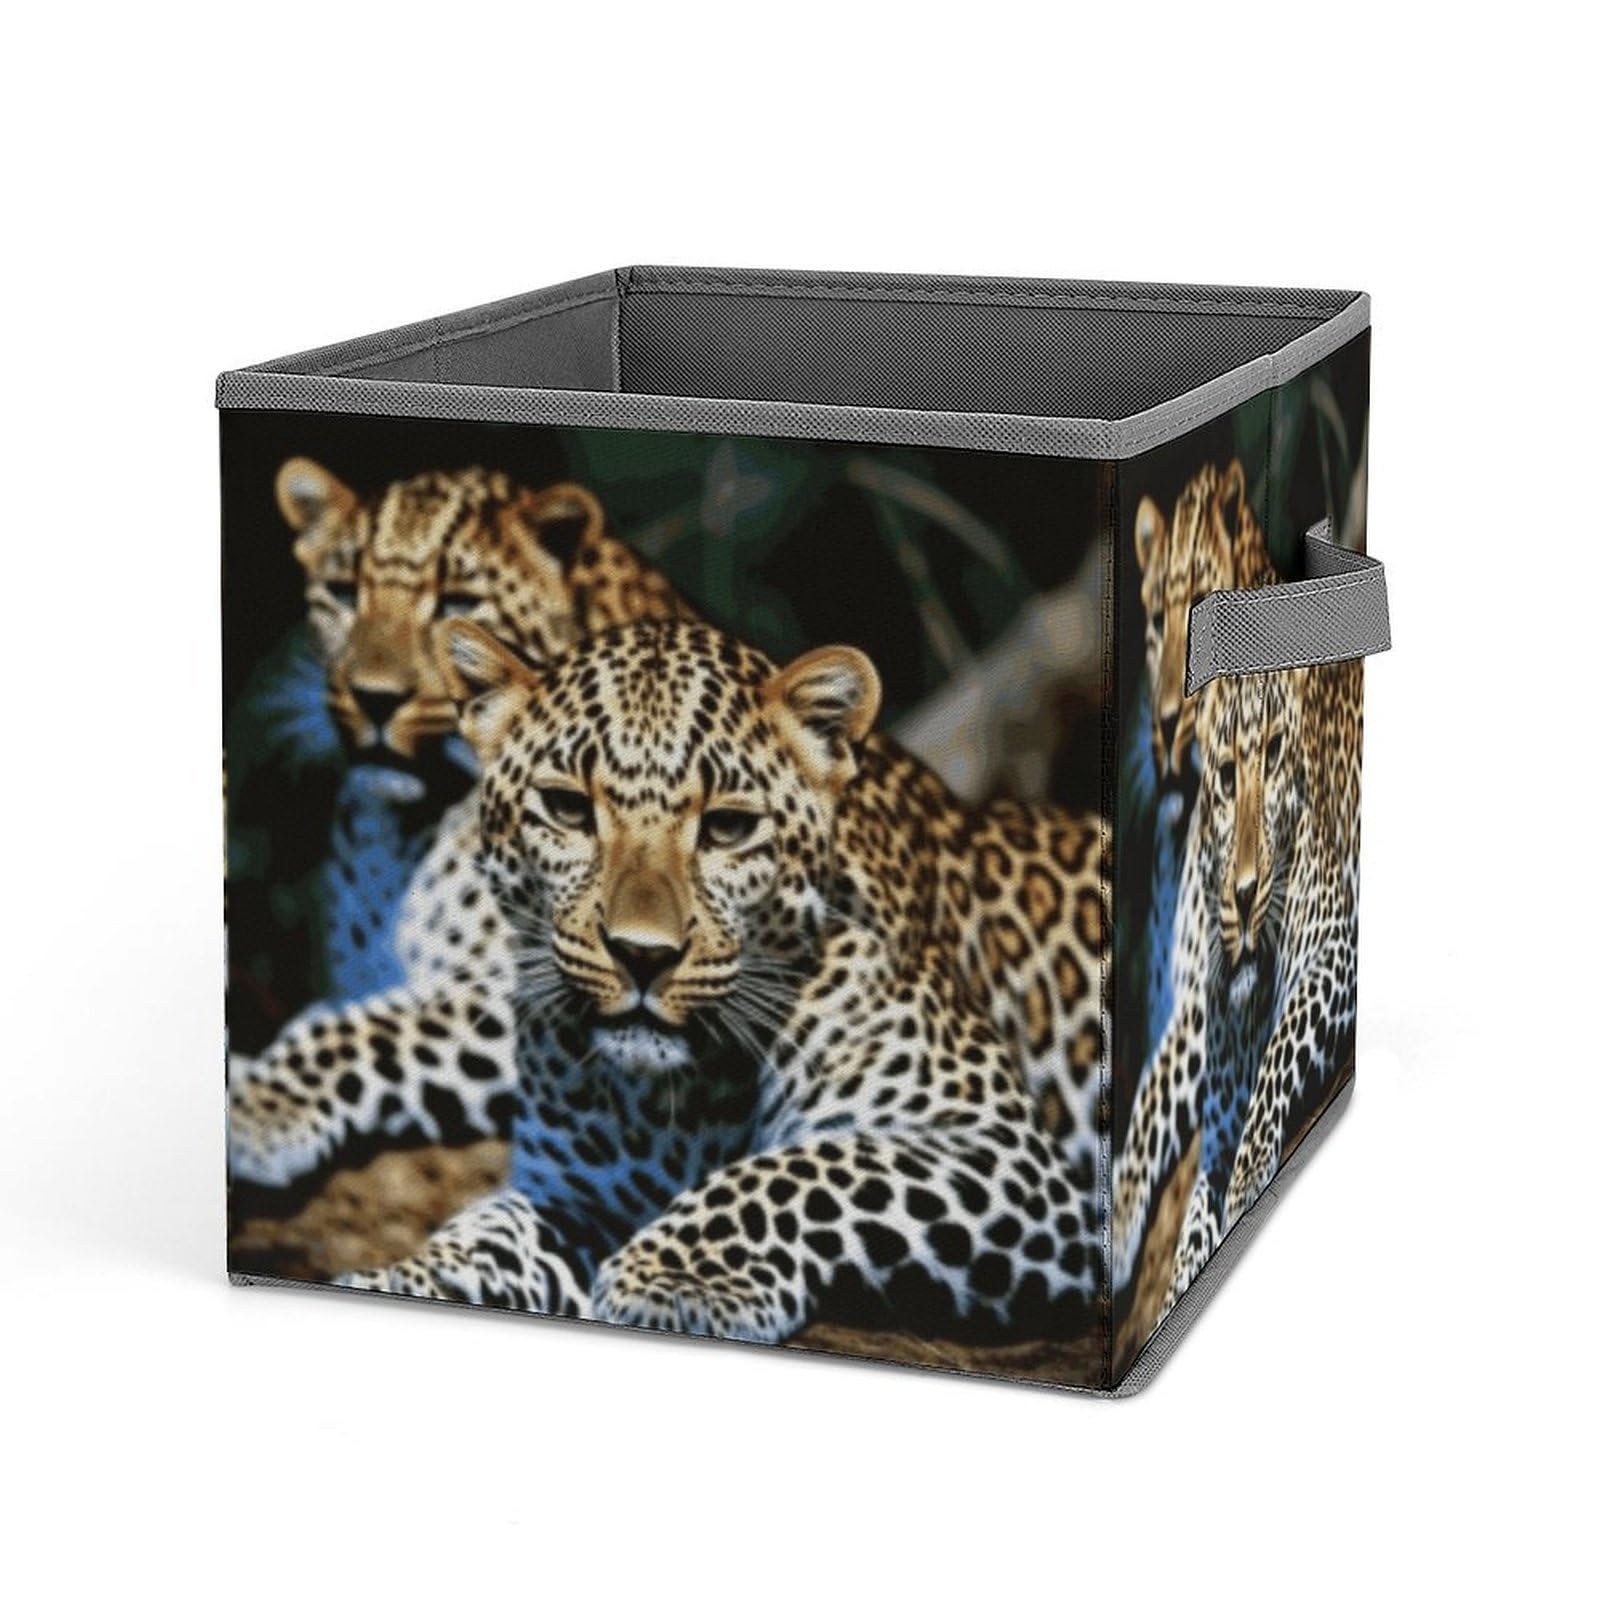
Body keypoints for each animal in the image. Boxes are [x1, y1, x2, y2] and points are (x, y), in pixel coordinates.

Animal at [228, 460, 686, 1186]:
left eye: (457, 604)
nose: (374, 698)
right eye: (343, 593)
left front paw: (256, 1106)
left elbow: (371, 1029)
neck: (397, 838)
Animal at [335, 614, 1111, 1349]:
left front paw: (673, 1277)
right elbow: (489, 1233)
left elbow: (811, 1166)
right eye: (567, 810)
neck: (678, 1102)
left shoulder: (1009, 1154)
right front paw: (401, 1277)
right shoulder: (574, 1191)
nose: (641, 955)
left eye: (728, 828)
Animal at [1112, 656, 1363, 1321]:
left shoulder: (1339, 955)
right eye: (1225, 777)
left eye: (1275, 754)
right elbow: (1191, 1207)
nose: (1244, 894)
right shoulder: (1213, 1109)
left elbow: (1284, 1040)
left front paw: (1252, 1178)